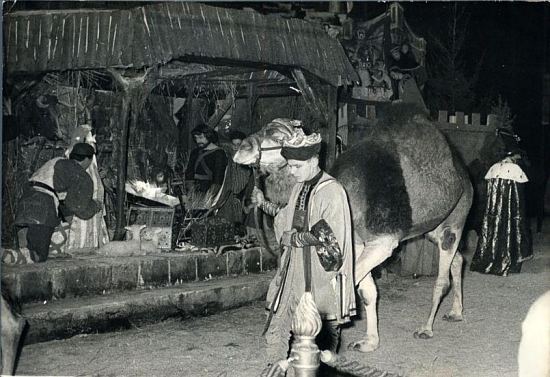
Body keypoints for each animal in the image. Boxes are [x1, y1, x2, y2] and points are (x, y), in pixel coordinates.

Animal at [233, 103, 474, 352]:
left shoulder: (383, 242)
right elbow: (367, 291)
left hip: (455, 221)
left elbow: (346, 282)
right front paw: (370, 341)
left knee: (443, 277)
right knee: (458, 259)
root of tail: (463, 174)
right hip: (432, 230)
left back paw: (426, 328)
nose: (242, 148)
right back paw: (456, 312)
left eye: (277, 136)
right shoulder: (355, 241)